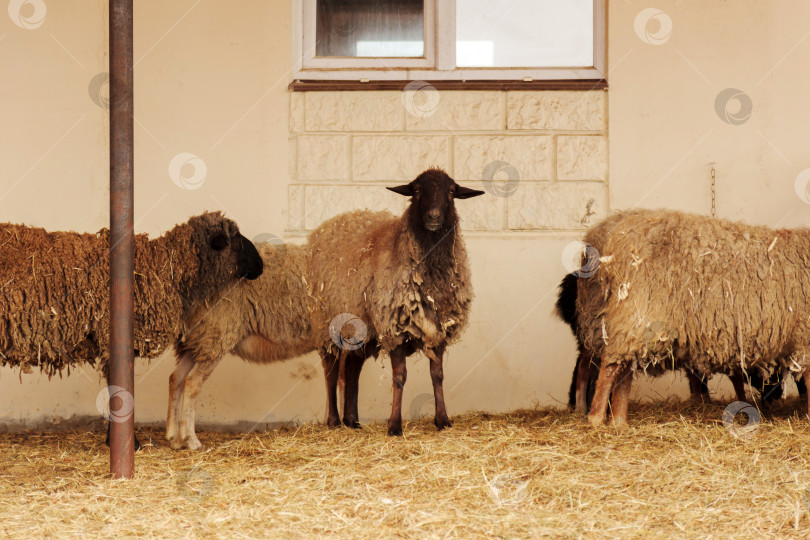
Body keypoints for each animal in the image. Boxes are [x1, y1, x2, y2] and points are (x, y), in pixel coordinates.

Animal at [0, 212, 263, 445]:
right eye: (235, 239)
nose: (261, 266)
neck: (163, 269)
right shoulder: (112, 338)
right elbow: (118, 389)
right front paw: (127, 442)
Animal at [167, 168, 483, 449]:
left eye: (452, 192)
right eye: (416, 191)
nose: (434, 217)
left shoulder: (437, 328)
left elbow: (437, 375)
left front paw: (442, 421)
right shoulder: (391, 328)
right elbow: (398, 377)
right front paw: (394, 426)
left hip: (199, 340)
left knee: (177, 379)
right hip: (221, 336)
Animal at [575, 208, 810, 426]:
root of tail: (606, 236)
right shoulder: (804, 339)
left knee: (625, 368)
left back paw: (619, 422)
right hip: (635, 312)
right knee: (610, 364)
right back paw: (596, 419)